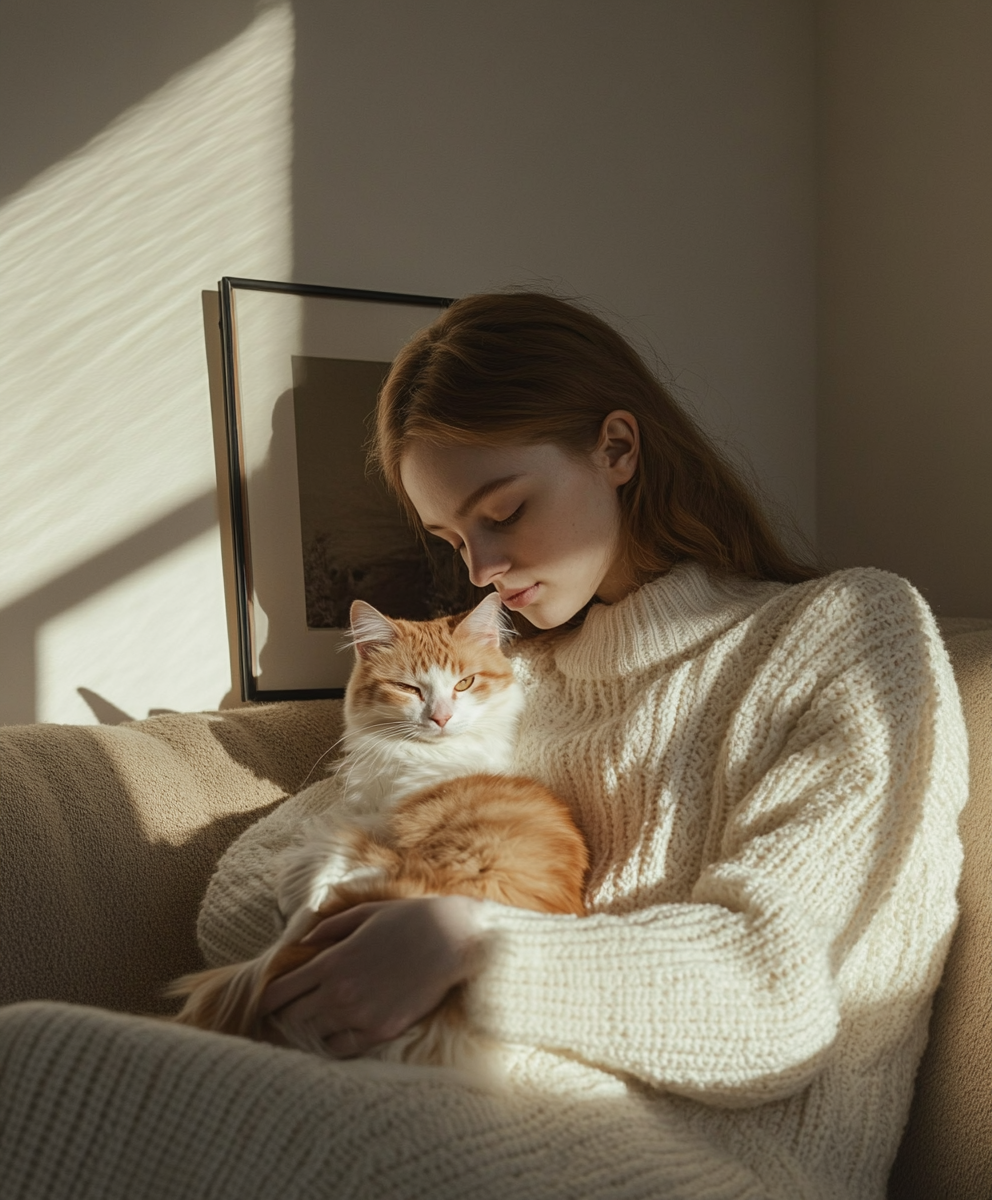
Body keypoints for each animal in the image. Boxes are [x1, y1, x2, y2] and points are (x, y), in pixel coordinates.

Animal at [170, 595, 590, 1075]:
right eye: (409, 689)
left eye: (464, 683)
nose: (441, 718)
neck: (415, 756)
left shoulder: (374, 826)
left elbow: (316, 863)